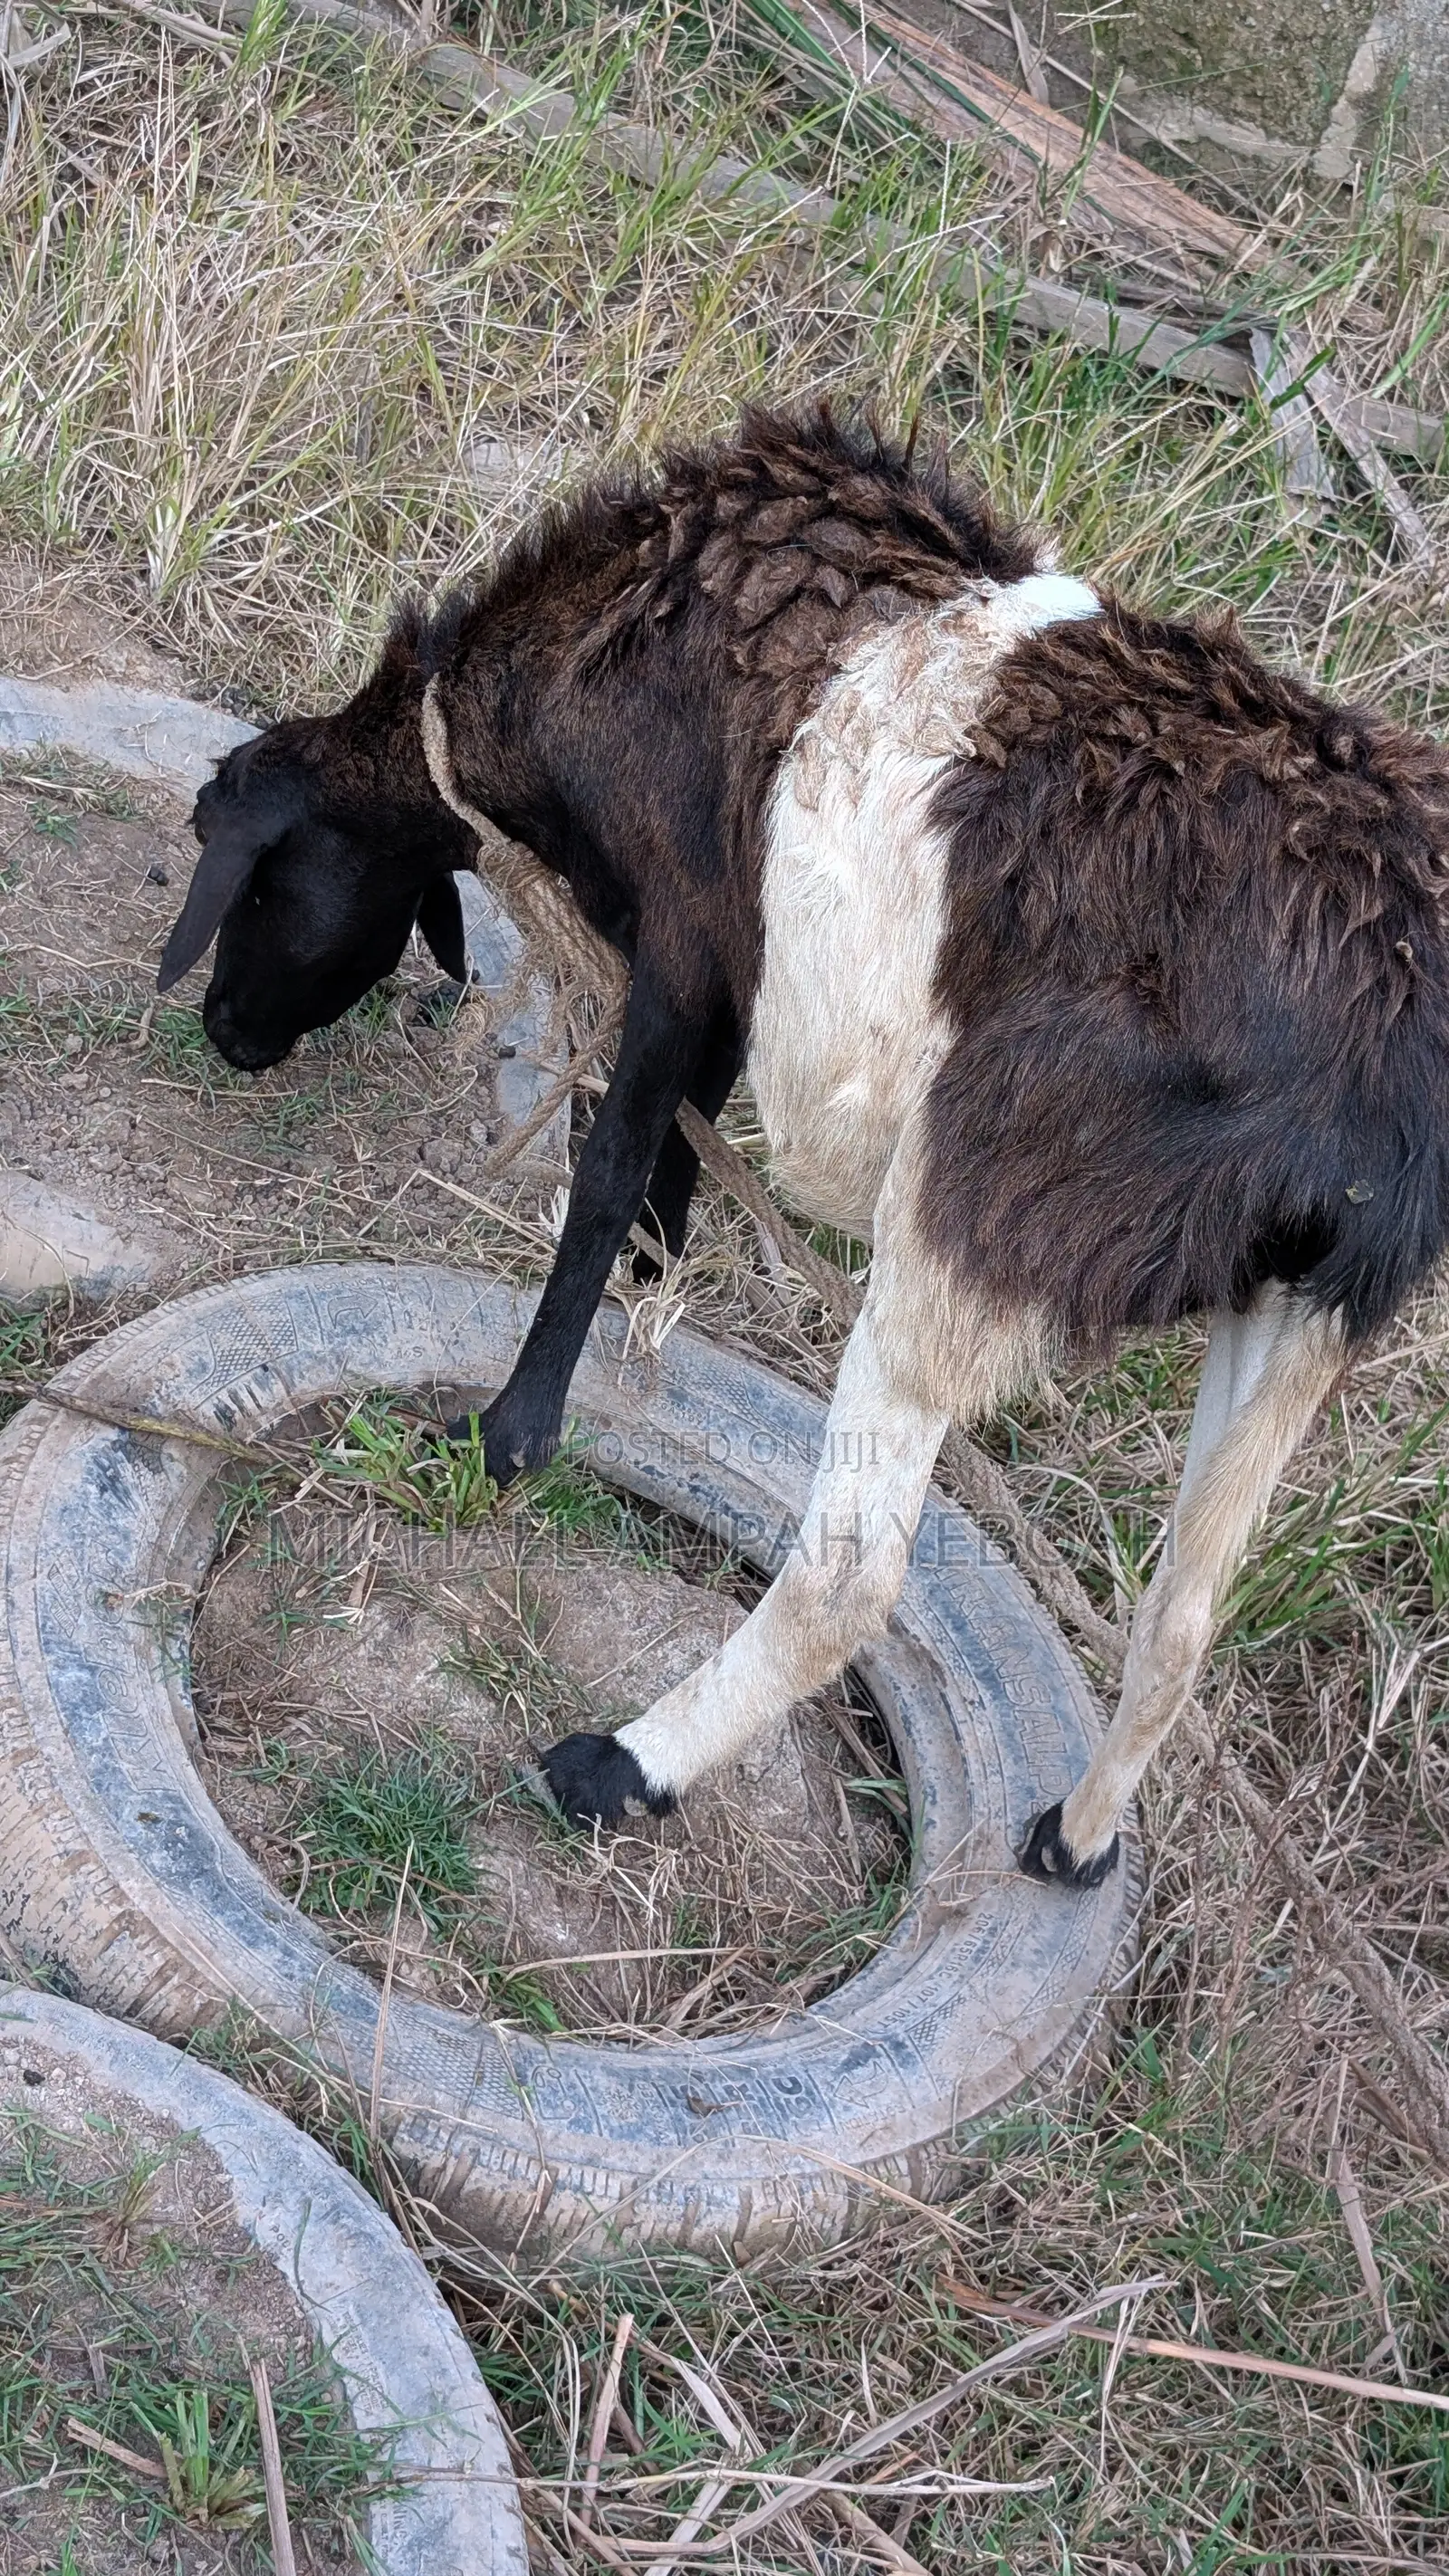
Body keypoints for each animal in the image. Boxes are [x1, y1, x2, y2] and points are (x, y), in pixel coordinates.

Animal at [158, 406, 1449, 1888]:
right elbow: (666, 1171)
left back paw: (619, 1768)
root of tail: (1385, 1060)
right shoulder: (727, 969)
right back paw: (1073, 1841)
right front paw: (652, 1315)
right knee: (1184, 1615)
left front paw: (509, 1434)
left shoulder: (683, 930)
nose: (227, 1031)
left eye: (255, 877)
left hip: (980, 1209)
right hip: (1302, 1307)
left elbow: (610, 1166)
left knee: (853, 1573)